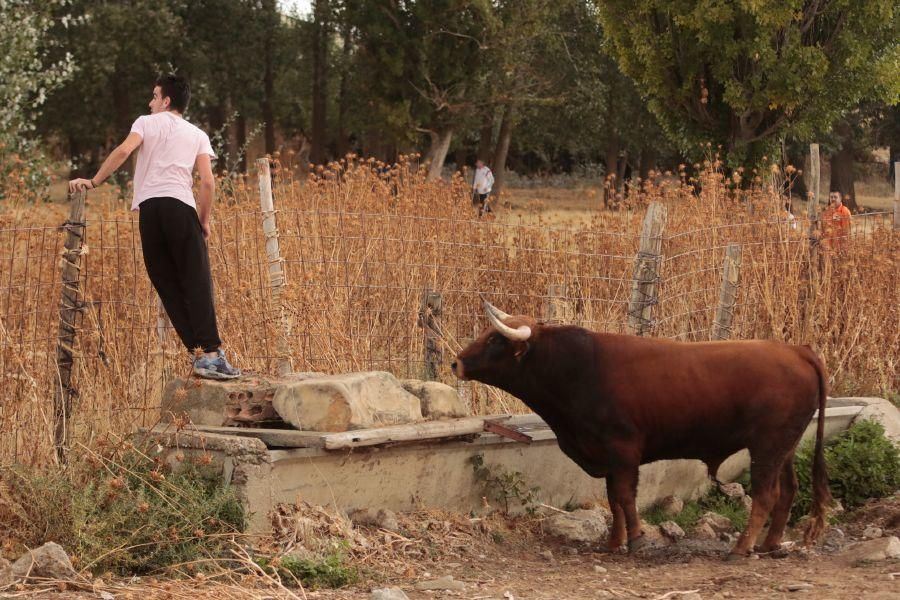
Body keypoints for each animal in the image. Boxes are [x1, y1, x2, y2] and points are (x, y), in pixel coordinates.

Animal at [454, 302, 832, 560]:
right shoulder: (606, 454)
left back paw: (741, 548)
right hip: (785, 448)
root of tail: (796, 350)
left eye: (494, 339)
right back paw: (769, 544)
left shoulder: (622, 449)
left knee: (766, 495)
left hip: (767, 447)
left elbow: (625, 496)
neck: (576, 368)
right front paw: (613, 542)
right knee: (788, 490)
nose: (457, 362)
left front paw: (636, 539)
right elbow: (612, 500)